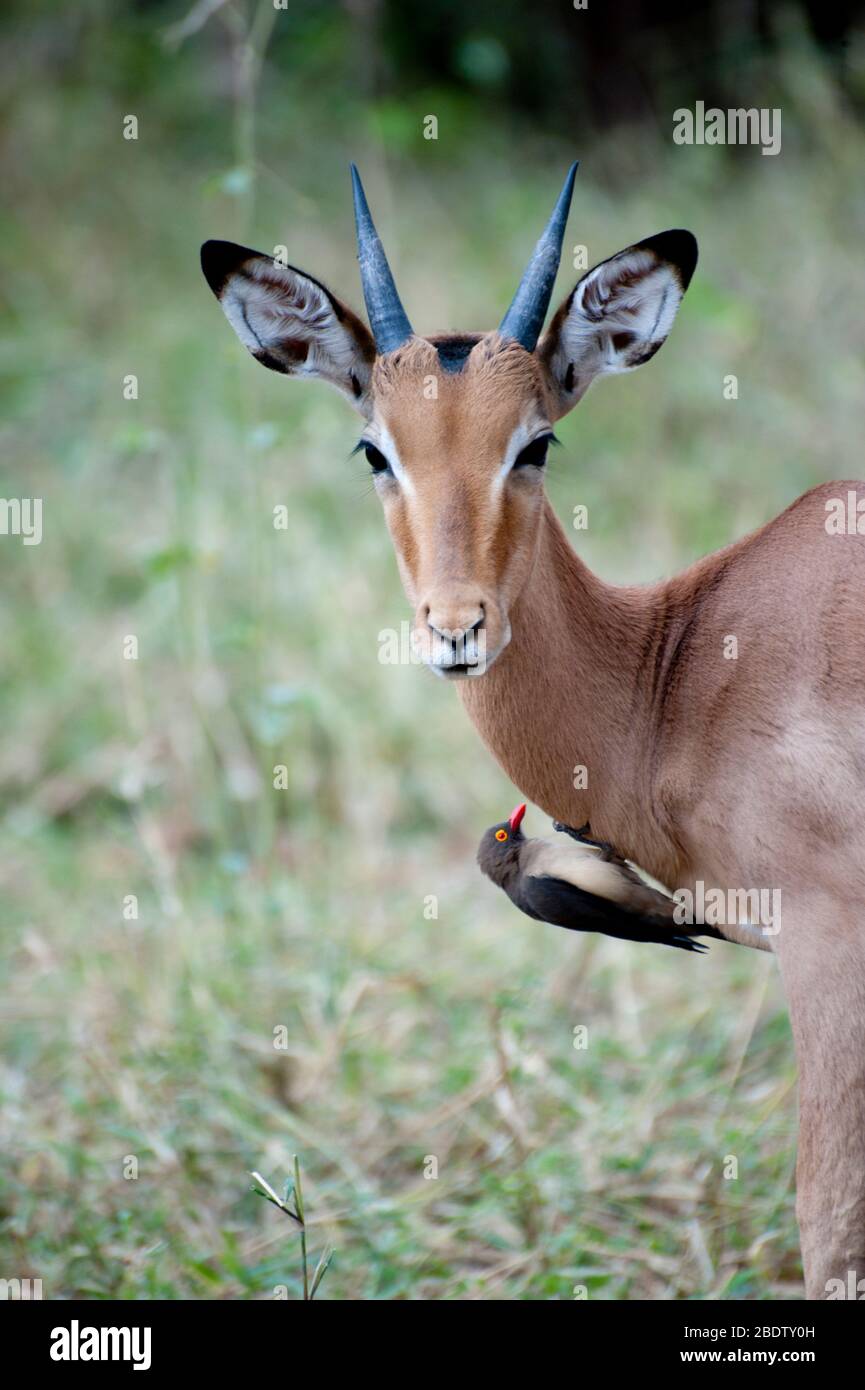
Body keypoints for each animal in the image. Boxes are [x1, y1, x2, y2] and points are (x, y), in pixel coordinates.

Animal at [201, 165, 865, 1299]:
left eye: (536, 440)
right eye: (374, 447)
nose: (456, 627)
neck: (678, 668)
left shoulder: (828, 947)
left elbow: (831, 1229)